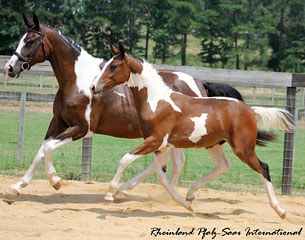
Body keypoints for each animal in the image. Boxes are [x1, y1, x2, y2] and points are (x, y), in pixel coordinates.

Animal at [3, 14, 243, 197]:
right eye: (21, 39)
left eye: (30, 41)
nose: (10, 68)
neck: (78, 80)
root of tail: (199, 83)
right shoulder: (58, 123)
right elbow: (42, 149)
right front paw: (17, 187)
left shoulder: (81, 129)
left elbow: (48, 148)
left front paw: (56, 181)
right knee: (171, 163)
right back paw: (149, 193)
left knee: (171, 163)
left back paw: (137, 192)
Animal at [92, 44, 292, 218]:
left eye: (114, 66)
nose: (94, 87)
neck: (156, 101)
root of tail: (250, 110)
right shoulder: (162, 146)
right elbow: (161, 176)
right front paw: (186, 204)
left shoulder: (155, 140)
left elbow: (126, 159)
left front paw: (110, 194)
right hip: (214, 144)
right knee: (224, 165)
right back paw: (190, 194)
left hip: (243, 149)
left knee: (263, 168)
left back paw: (280, 211)